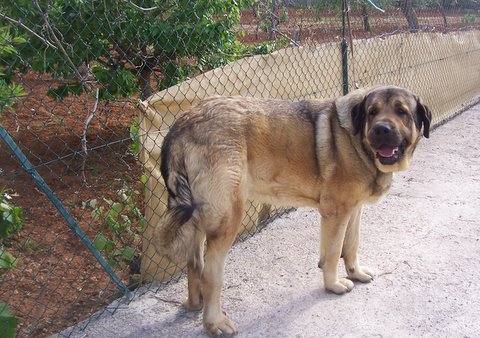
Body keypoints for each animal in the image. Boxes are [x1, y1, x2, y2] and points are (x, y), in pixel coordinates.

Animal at [157, 85, 432, 336]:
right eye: (372, 111)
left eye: (402, 111)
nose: (381, 129)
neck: (357, 139)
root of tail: (183, 121)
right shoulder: (336, 213)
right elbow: (334, 253)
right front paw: (333, 285)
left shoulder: (353, 210)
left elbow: (351, 246)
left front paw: (356, 273)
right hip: (227, 219)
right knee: (210, 273)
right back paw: (214, 322)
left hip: (199, 219)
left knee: (194, 263)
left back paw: (196, 303)